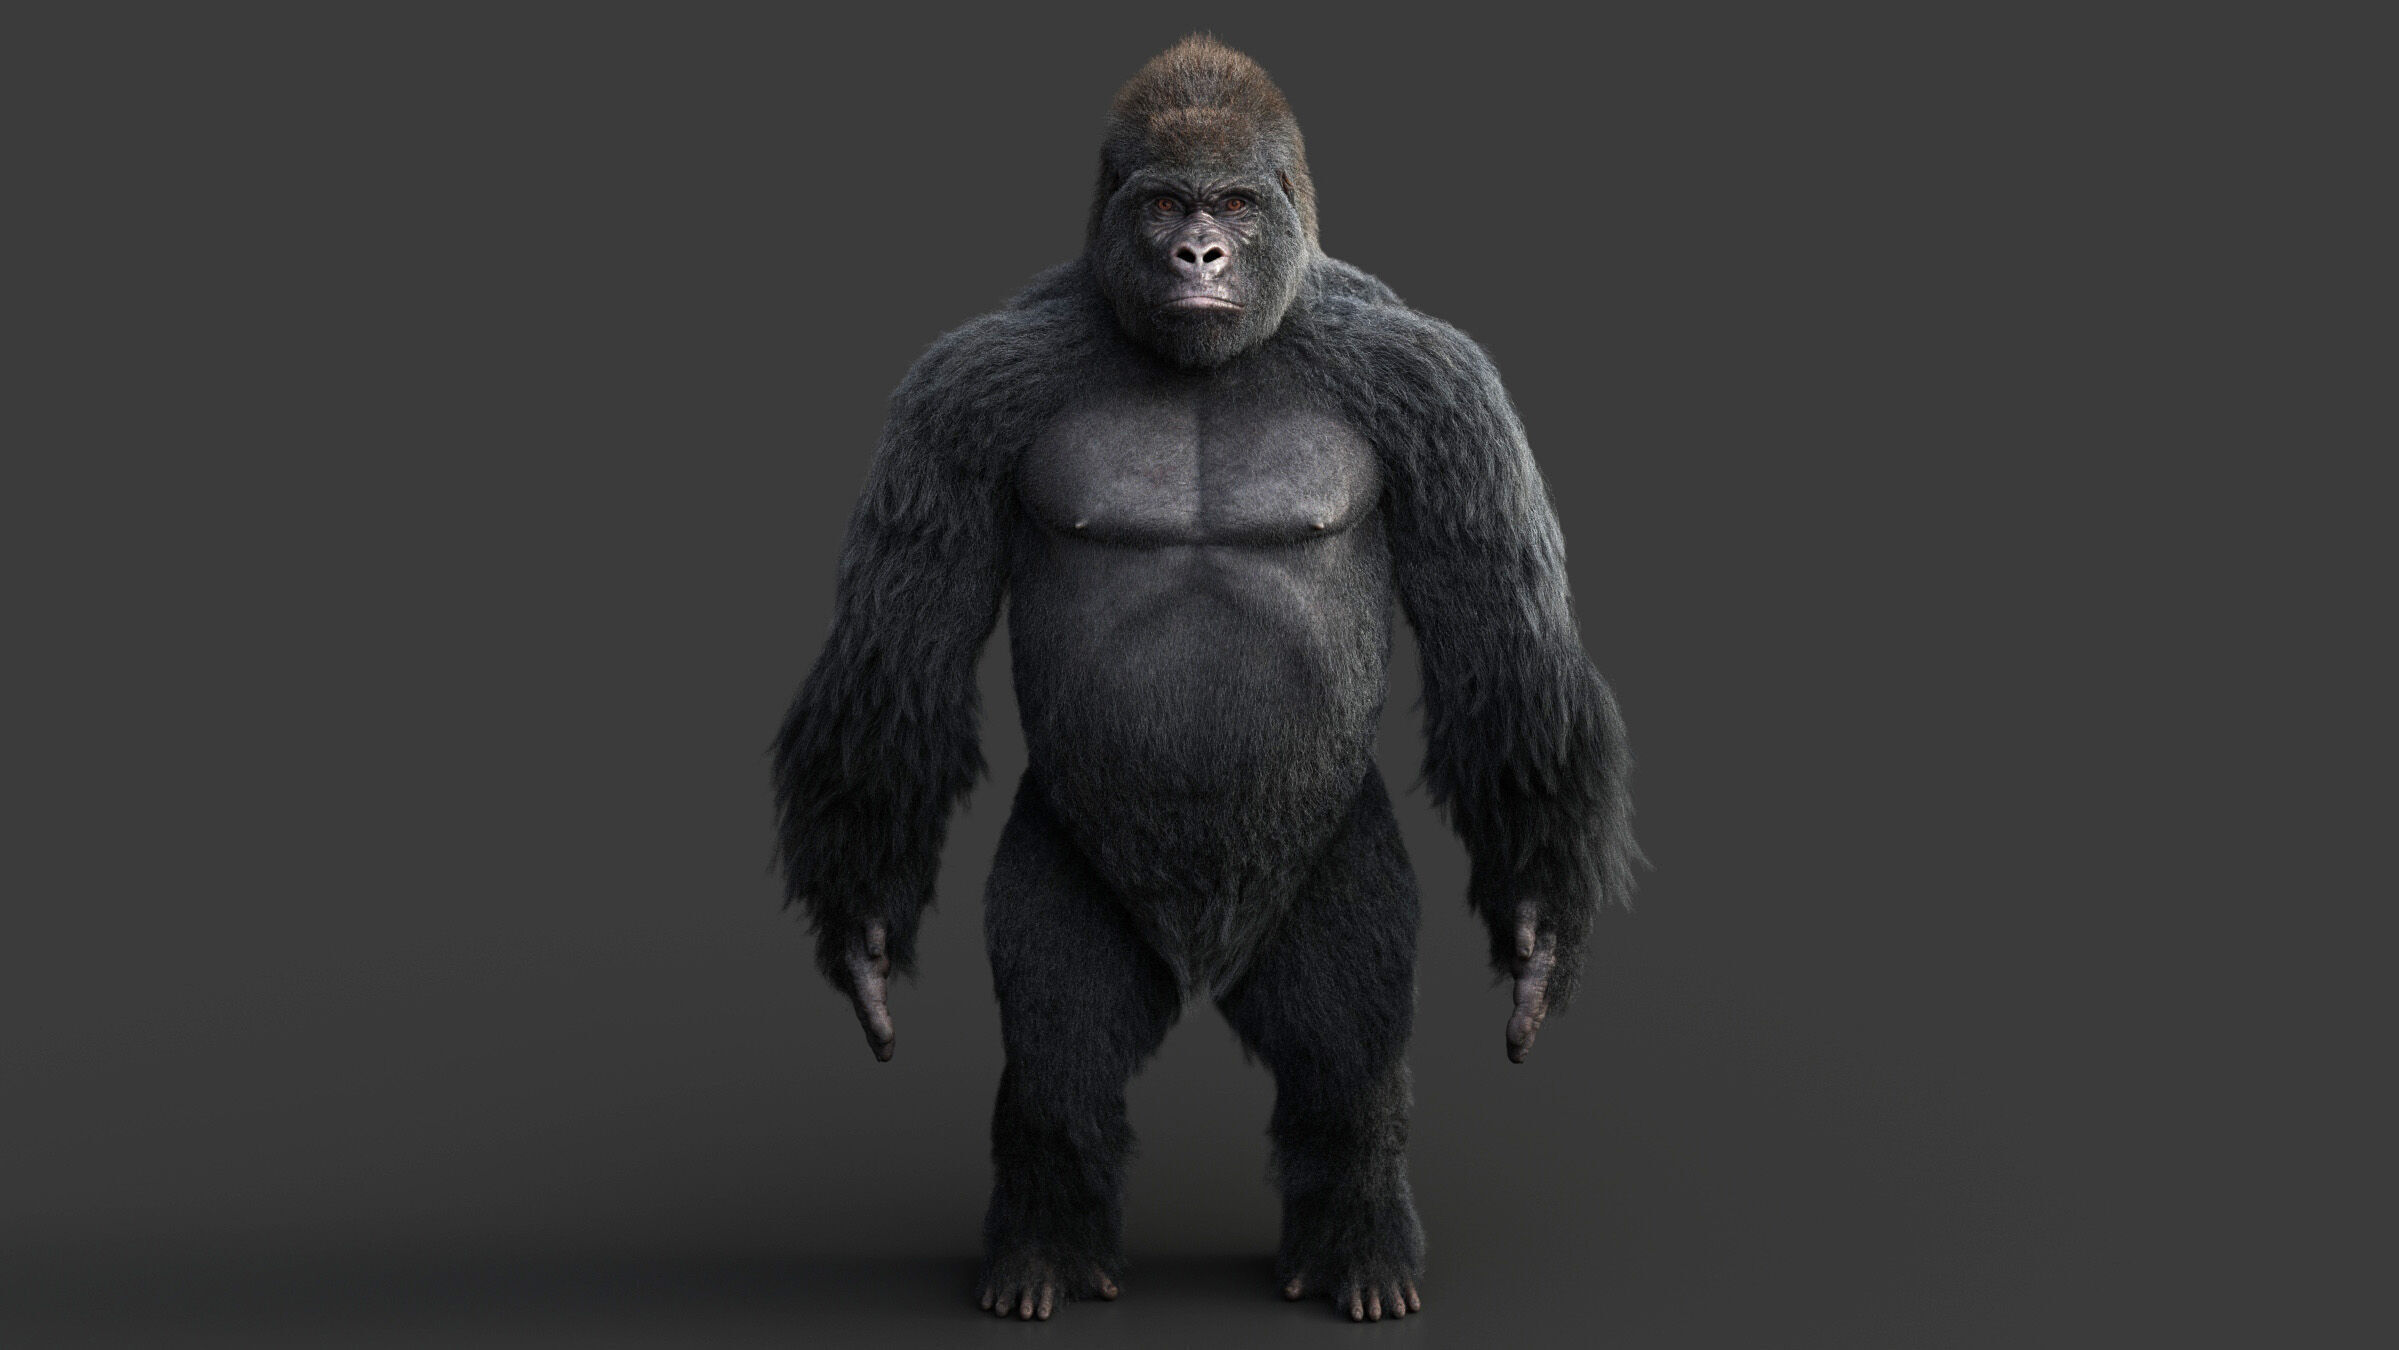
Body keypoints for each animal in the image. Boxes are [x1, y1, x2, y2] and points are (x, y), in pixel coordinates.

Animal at [772, 34, 1639, 1323]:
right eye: (1163, 207)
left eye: (1231, 205)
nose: (1198, 257)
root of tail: (1202, 962)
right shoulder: (961, 389)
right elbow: (899, 656)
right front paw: (863, 926)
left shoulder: (1439, 385)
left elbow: (1502, 647)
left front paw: (1538, 924)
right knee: (1060, 1058)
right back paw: (1044, 1246)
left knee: (1342, 1054)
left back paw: (1356, 1244)